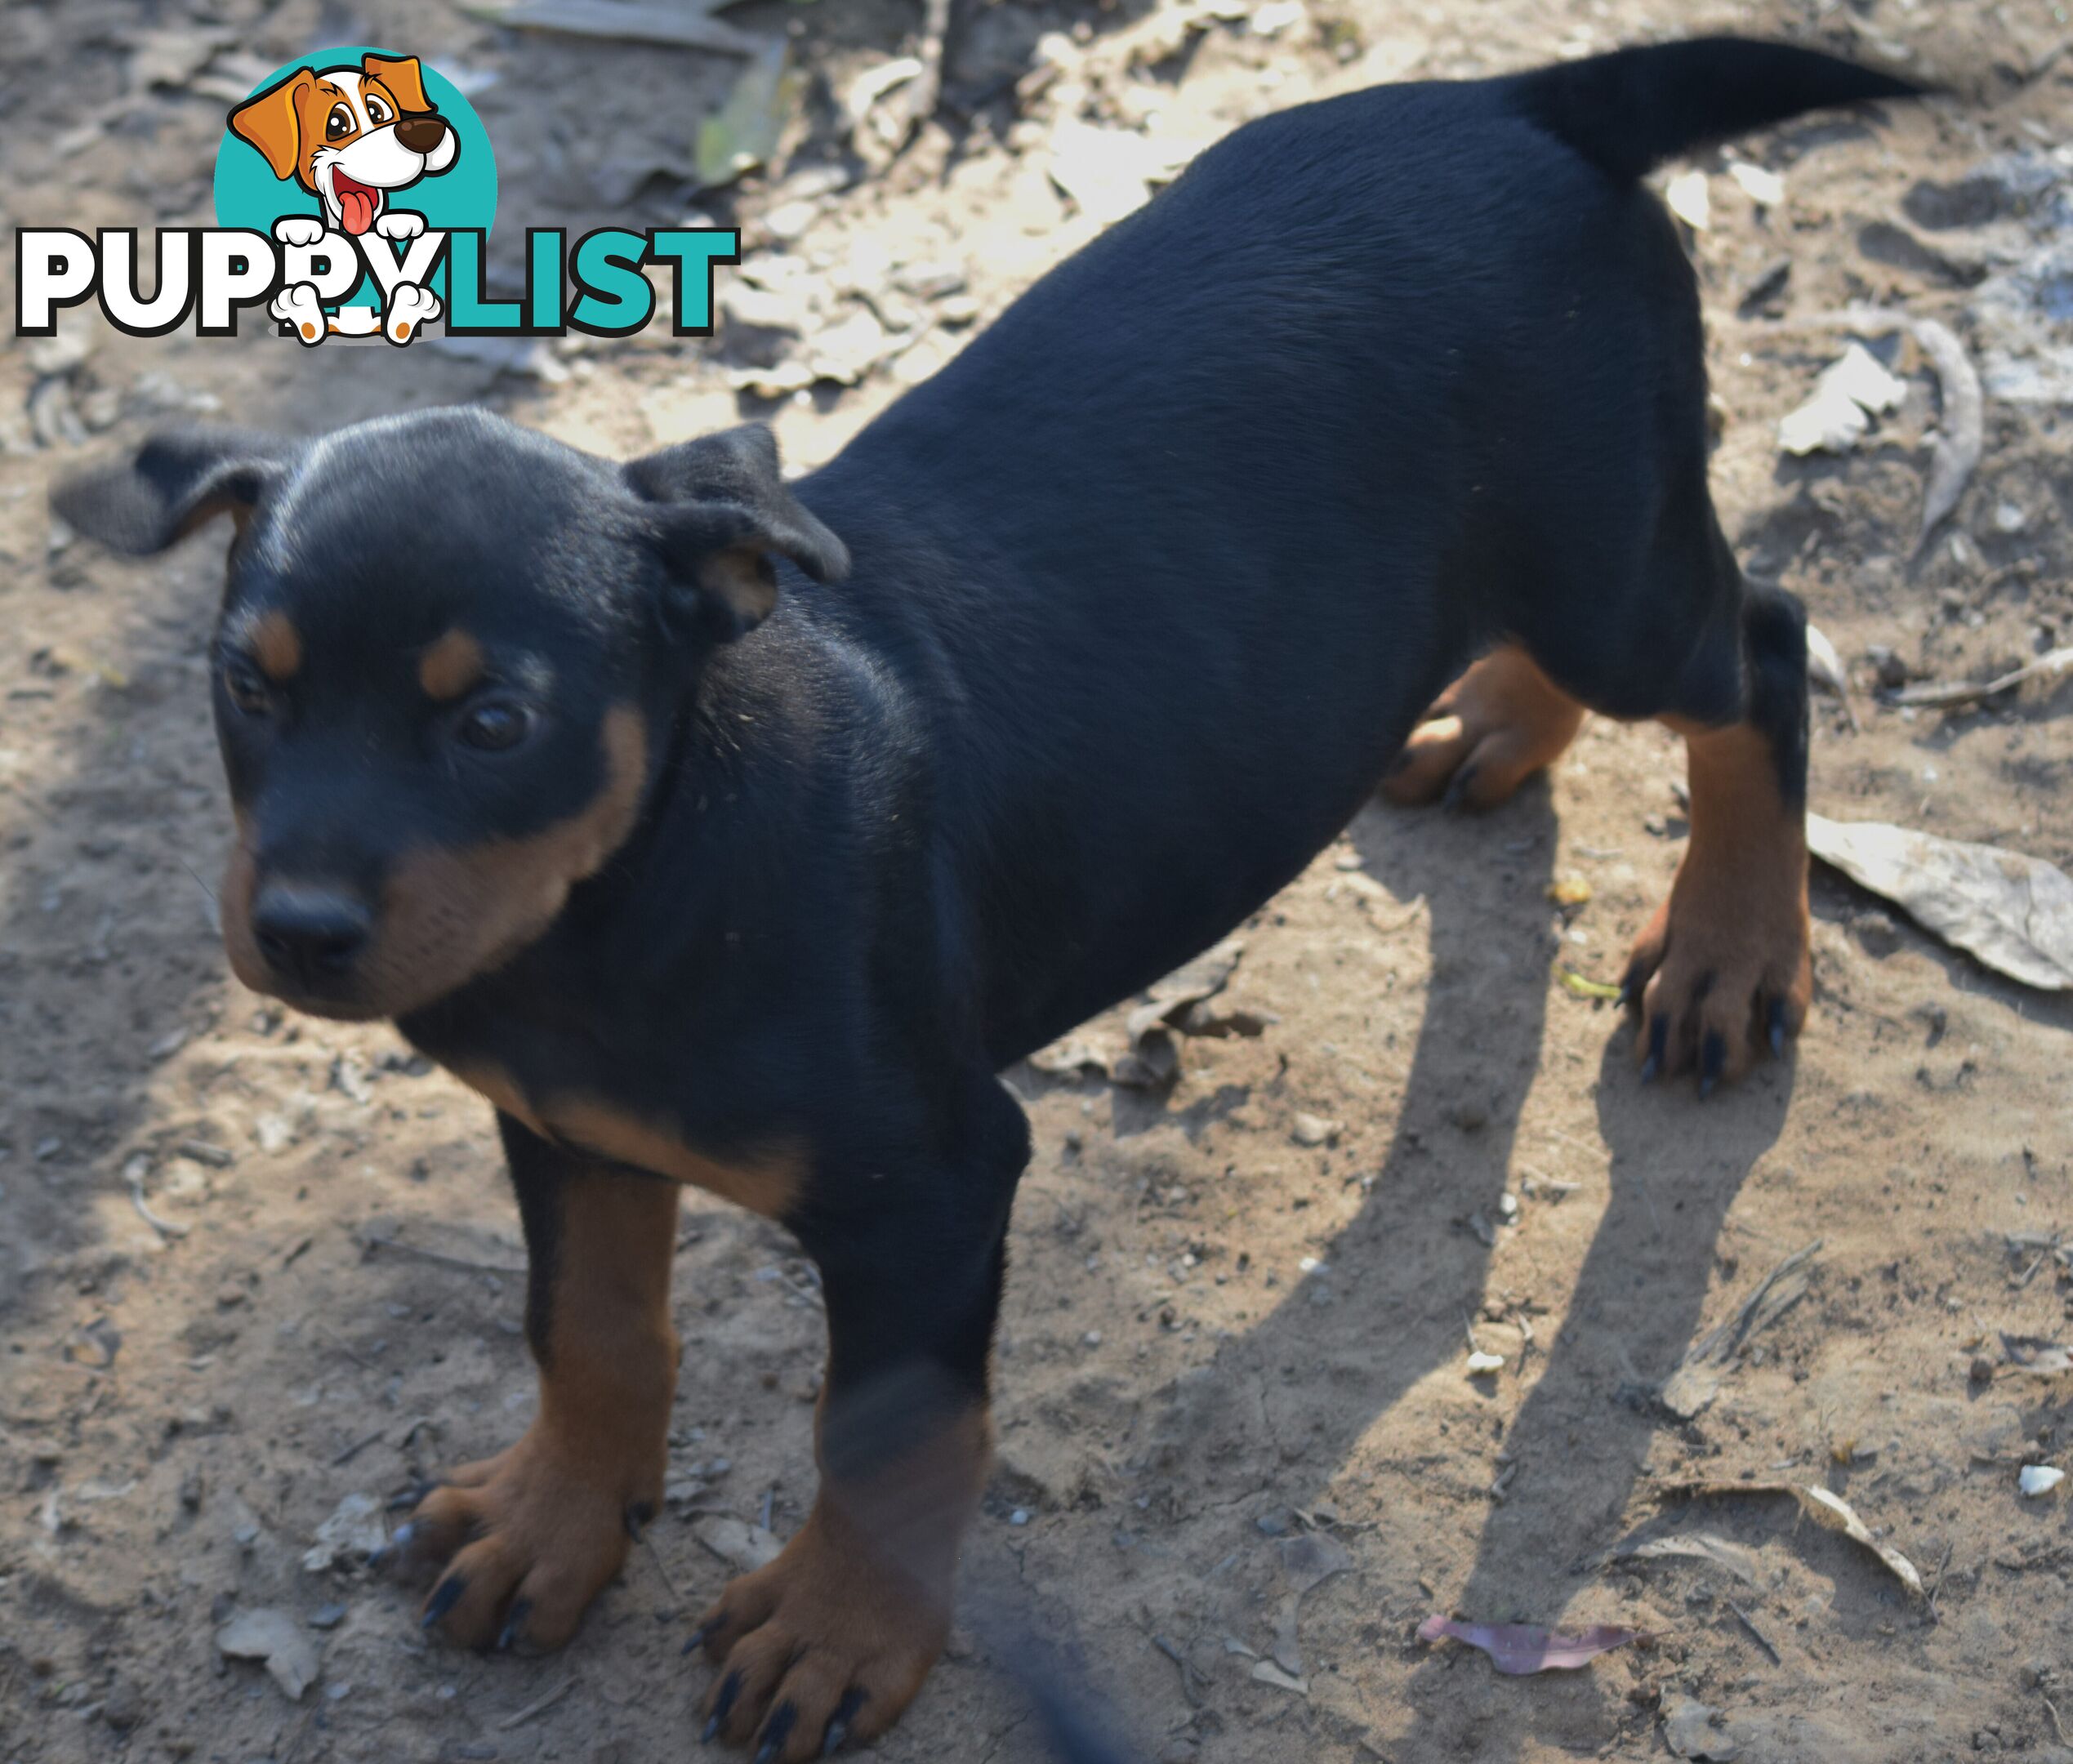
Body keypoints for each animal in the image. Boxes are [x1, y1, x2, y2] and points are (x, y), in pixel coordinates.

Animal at [52, 34, 1924, 1757]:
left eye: (494, 722)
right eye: (248, 688)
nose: (297, 934)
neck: (644, 878)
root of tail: (1522, 99)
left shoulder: (934, 1183)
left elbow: (889, 1434)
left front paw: (838, 1635)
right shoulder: (560, 1130)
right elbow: (587, 1332)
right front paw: (554, 1526)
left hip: (1614, 558)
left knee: (1761, 652)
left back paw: (1728, 956)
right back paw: (1494, 726)